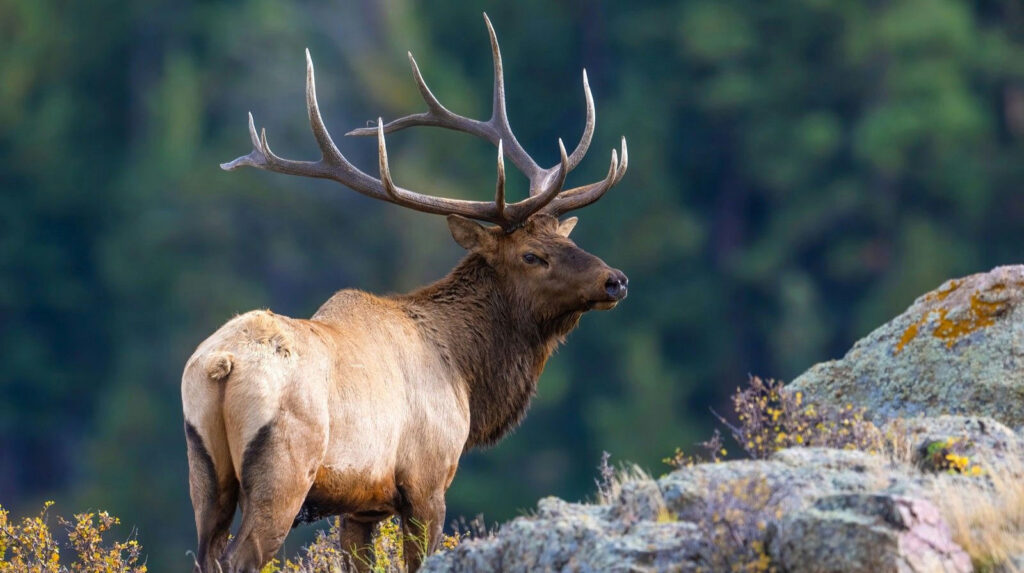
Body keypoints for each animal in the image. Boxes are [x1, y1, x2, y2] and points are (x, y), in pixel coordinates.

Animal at [182, 14, 628, 572]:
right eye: (531, 255)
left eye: (566, 239)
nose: (615, 279)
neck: (466, 372)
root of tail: (224, 365)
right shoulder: (426, 482)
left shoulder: (361, 506)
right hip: (283, 471)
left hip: (205, 473)